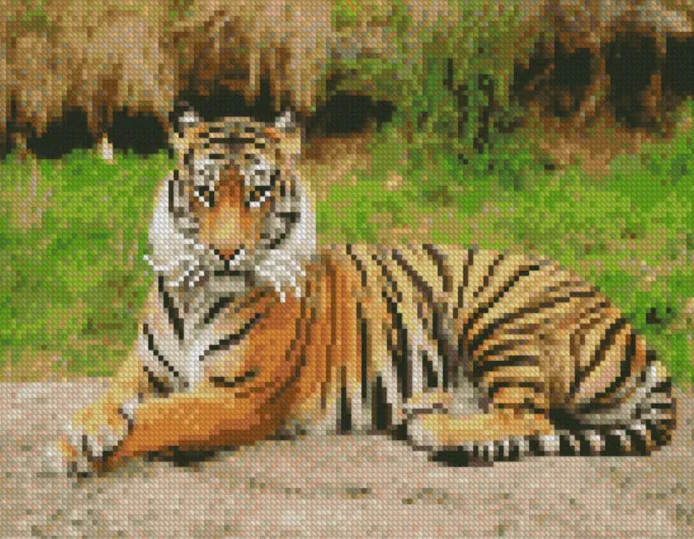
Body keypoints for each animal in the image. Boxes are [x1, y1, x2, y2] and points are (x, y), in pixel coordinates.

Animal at [58, 109, 676, 475]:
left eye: (258, 193)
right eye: (206, 193)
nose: (226, 252)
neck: (197, 293)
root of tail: (629, 326)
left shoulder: (241, 395)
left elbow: (164, 417)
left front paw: (79, 446)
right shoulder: (144, 364)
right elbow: (113, 396)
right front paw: (83, 429)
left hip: (498, 311)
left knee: (531, 417)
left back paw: (435, 429)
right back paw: (425, 406)